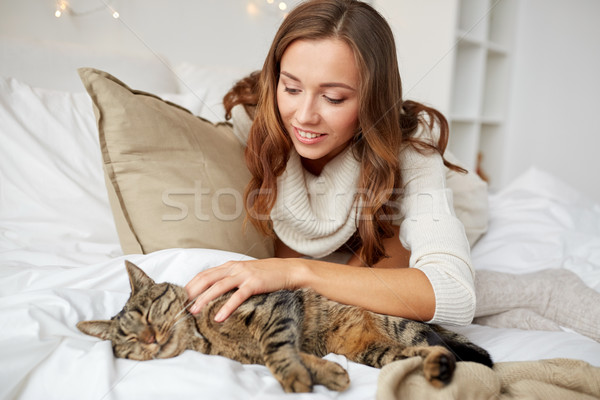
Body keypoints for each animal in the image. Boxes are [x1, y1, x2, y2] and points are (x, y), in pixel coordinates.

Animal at [77, 260, 490, 394]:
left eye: (149, 313)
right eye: (128, 338)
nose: (150, 338)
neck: (201, 337)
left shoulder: (275, 309)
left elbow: (278, 349)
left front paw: (294, 377)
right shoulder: (255, 353)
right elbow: (296, 356)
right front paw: (328, 373)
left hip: (402, 325)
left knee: (451, 353)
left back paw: (444, 366)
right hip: (378, 353)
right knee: (416, 356)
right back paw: (431, 367)